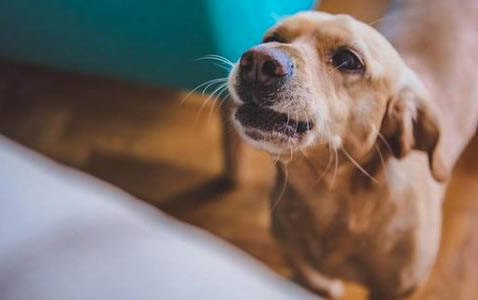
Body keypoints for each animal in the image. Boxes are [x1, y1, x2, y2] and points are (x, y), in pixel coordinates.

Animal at [226, 1, 478, 298]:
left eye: (348, 60)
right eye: (271, 38)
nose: (256, 61)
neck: (327, 195)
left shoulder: (397, 289)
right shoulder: (297, 258)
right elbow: (314, 279)